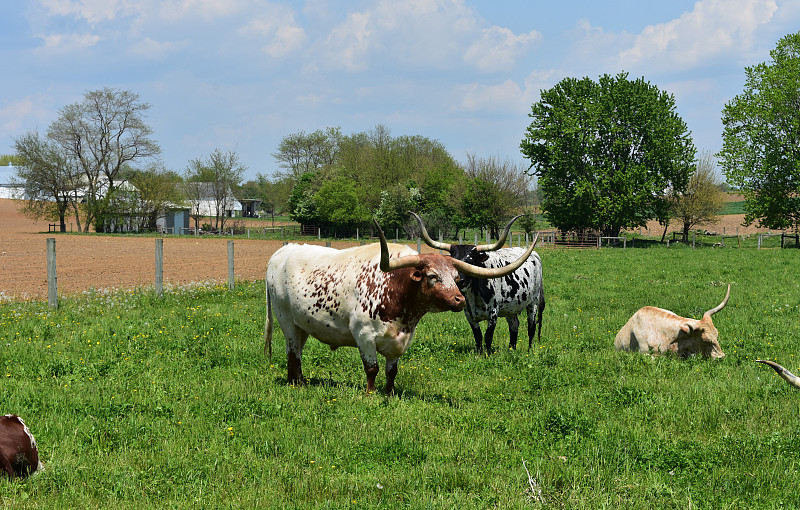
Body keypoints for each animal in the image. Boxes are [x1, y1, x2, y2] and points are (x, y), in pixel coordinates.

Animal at [266, 220, 536, 394]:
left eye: (455, 277)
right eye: (432, 276)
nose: (458, 300)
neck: (396, 289)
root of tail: (281, 252)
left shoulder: (400, 340)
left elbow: (391, 371)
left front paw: (390, 393)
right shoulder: (363, 335)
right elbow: (372, 368)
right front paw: (371, 395)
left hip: (302, 325)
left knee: (295, 352)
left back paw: (297, 381)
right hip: (286, 321)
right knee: (293, 352)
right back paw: (297, 384)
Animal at [412, 212, 544, 354]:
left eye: (471, 261)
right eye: (453, 261)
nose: (460, 281)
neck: (474, 294)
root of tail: (534, 254)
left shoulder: (493, 313)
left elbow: (488, 336)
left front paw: (487, 354)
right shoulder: (469, 315)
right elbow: (478, 336)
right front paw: (480, 353)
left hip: (533, 302)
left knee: (531, 327)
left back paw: (529, 351)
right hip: (511, 308)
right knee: (514, 326)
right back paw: (511, 349)